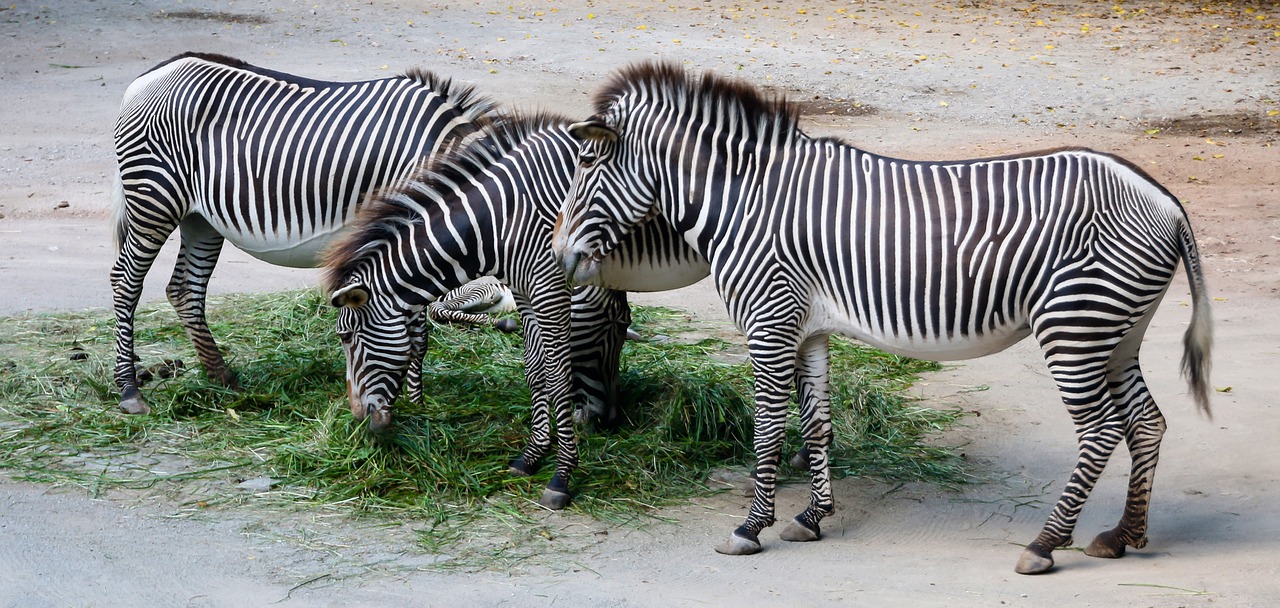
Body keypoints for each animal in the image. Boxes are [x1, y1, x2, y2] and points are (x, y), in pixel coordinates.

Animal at [550, 61, 1208, 576]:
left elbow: (767, 429)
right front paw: (812, 518)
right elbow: (817, 423)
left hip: (1074, 327)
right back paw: (1122, 536)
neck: (746, 199)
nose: (559, 256)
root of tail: (1166, 200)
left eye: (586, 164)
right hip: (1117, 332)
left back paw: (1045, 544)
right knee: (1147, 423)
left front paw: (749, 527)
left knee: (1100, 431)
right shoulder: (807, 327)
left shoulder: (769, 320)